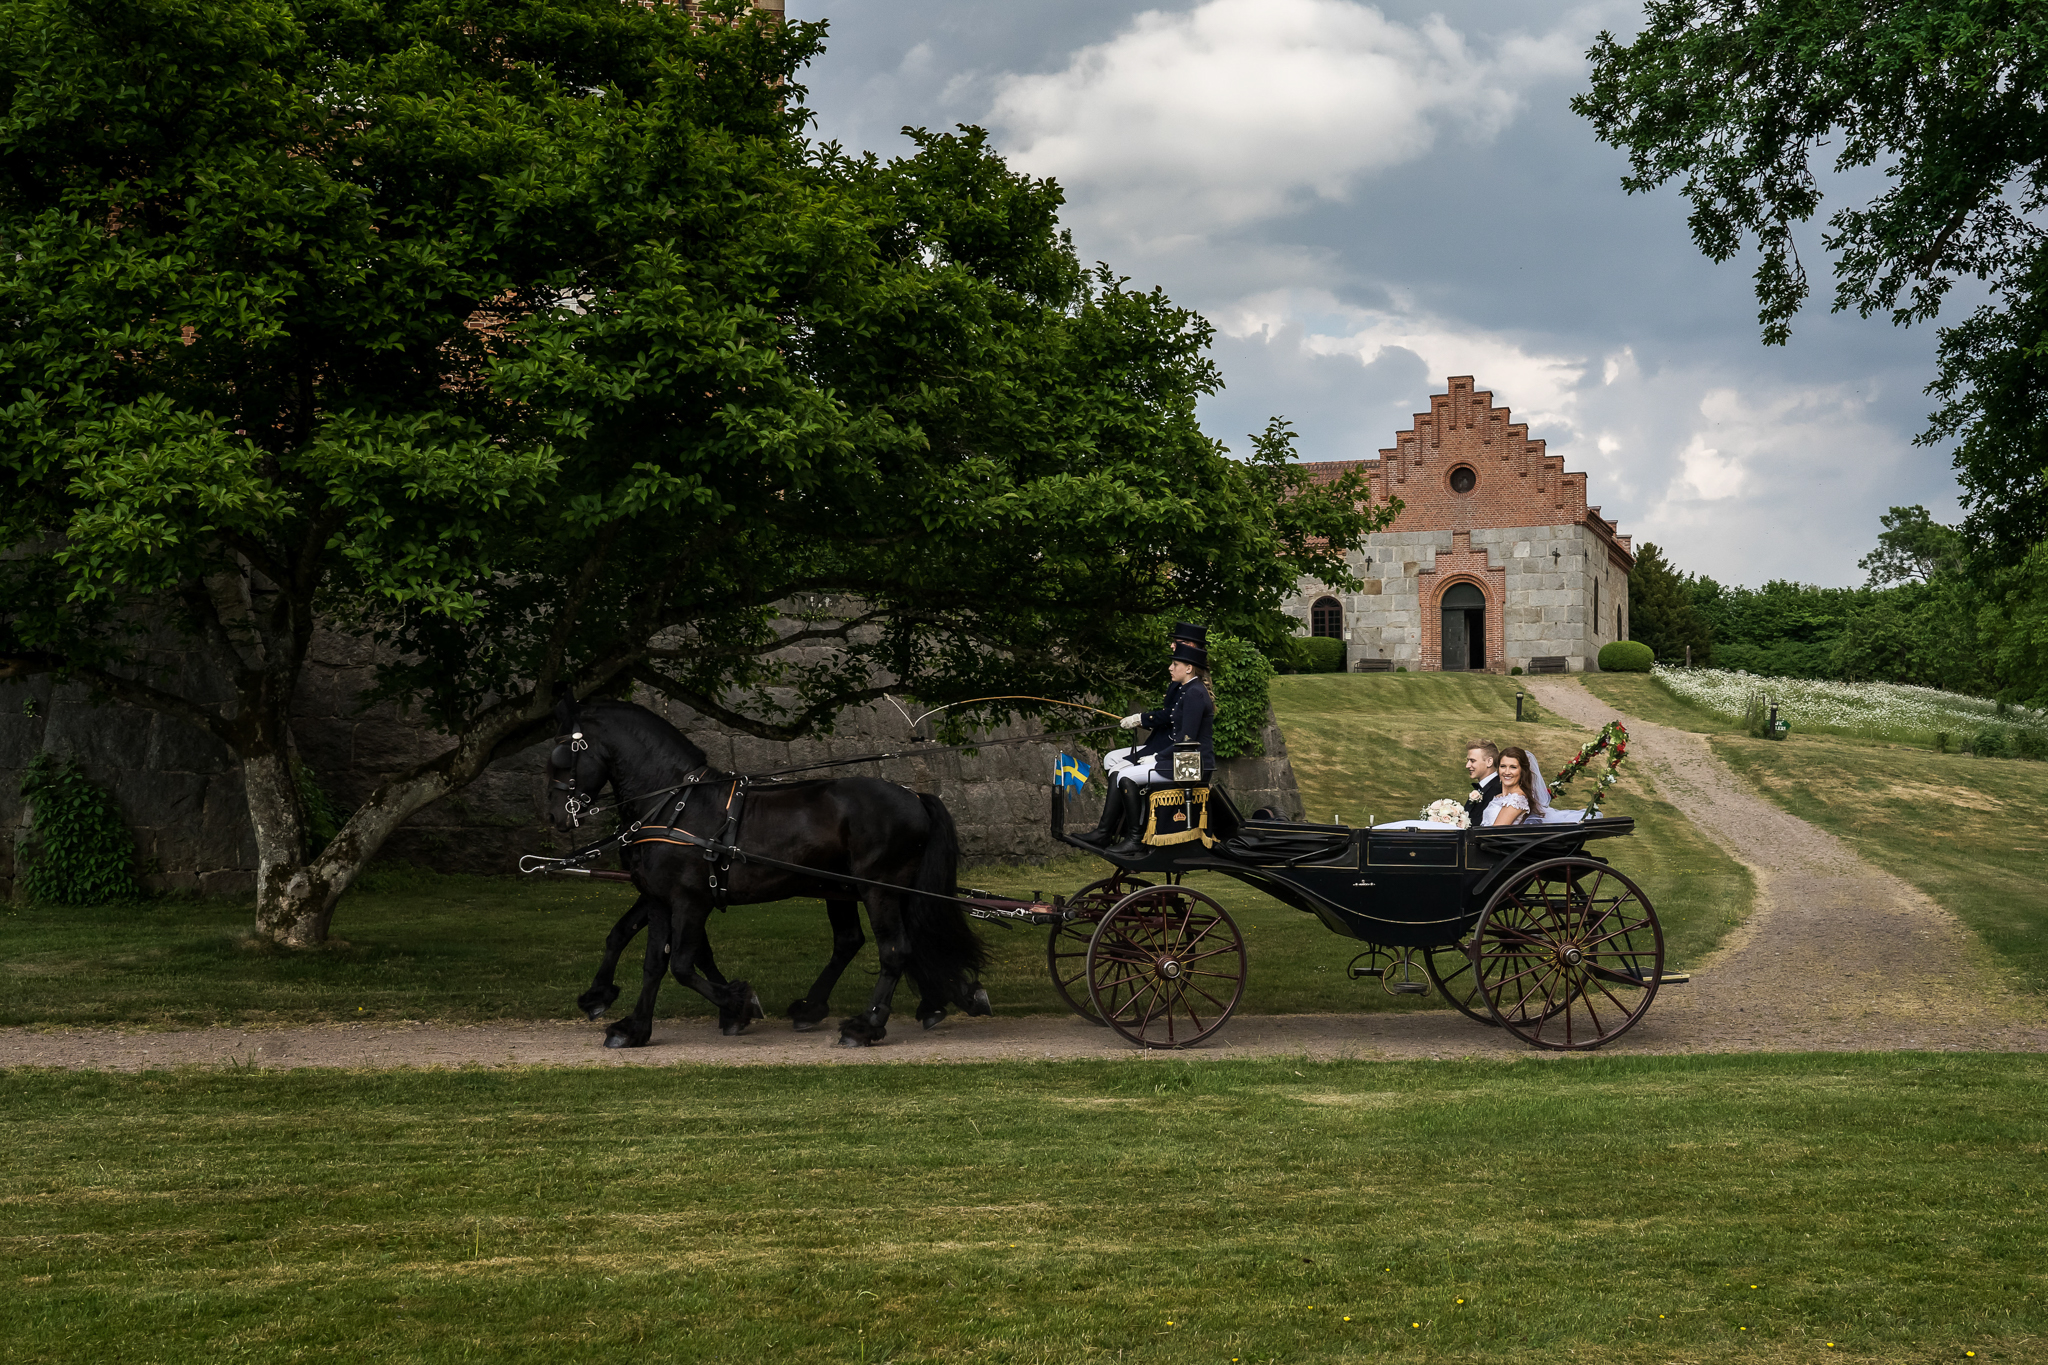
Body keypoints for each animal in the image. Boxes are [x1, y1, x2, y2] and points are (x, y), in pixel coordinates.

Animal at [544, 699, 991, 1055]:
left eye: (562, 757)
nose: (555, 818)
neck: (675, 806)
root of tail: (914, 795)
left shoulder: (691, 901)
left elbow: (683, 965)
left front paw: (739, 1004)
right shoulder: (658, 899)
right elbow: (654, 961)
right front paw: (633, 1027)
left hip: (877, 889)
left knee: (895, 949)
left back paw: (866, 1026)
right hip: (864, 890)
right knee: (890, 942)